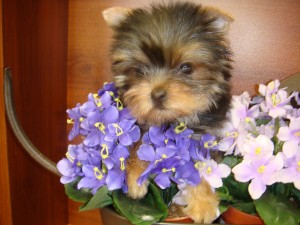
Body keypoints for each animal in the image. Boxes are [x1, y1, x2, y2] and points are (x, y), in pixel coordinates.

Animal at [102, 1, 233, 223]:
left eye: (186, 68)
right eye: (139, 70)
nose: (157, 94)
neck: (172, 119)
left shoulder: (203, 137)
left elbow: (198, 167)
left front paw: (203, 204)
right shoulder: (139, 121)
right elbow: (138, 143)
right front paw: (135, 179)